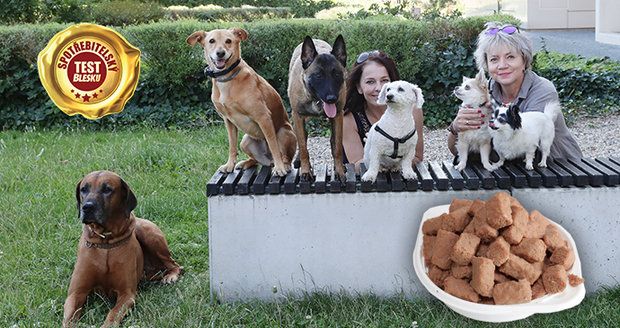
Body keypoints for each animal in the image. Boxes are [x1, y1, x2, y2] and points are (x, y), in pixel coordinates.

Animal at [63, 170, 182, 326]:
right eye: (84, 189)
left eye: (107, 189)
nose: (87, 207)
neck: (106, 242)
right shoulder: (76, 293)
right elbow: (68, 319)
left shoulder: (127, 294)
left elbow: (112, 315)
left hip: (148, 233)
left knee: (175, 264)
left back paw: (171, 276)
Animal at [286, 36, 346, 182]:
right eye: (318, 75)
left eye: (337, 74)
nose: (331, 99)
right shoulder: (298, 116)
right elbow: (303, 147)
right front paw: (306, 170)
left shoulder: (338, 116)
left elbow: (337, 147)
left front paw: (339, 170)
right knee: (303, 137)